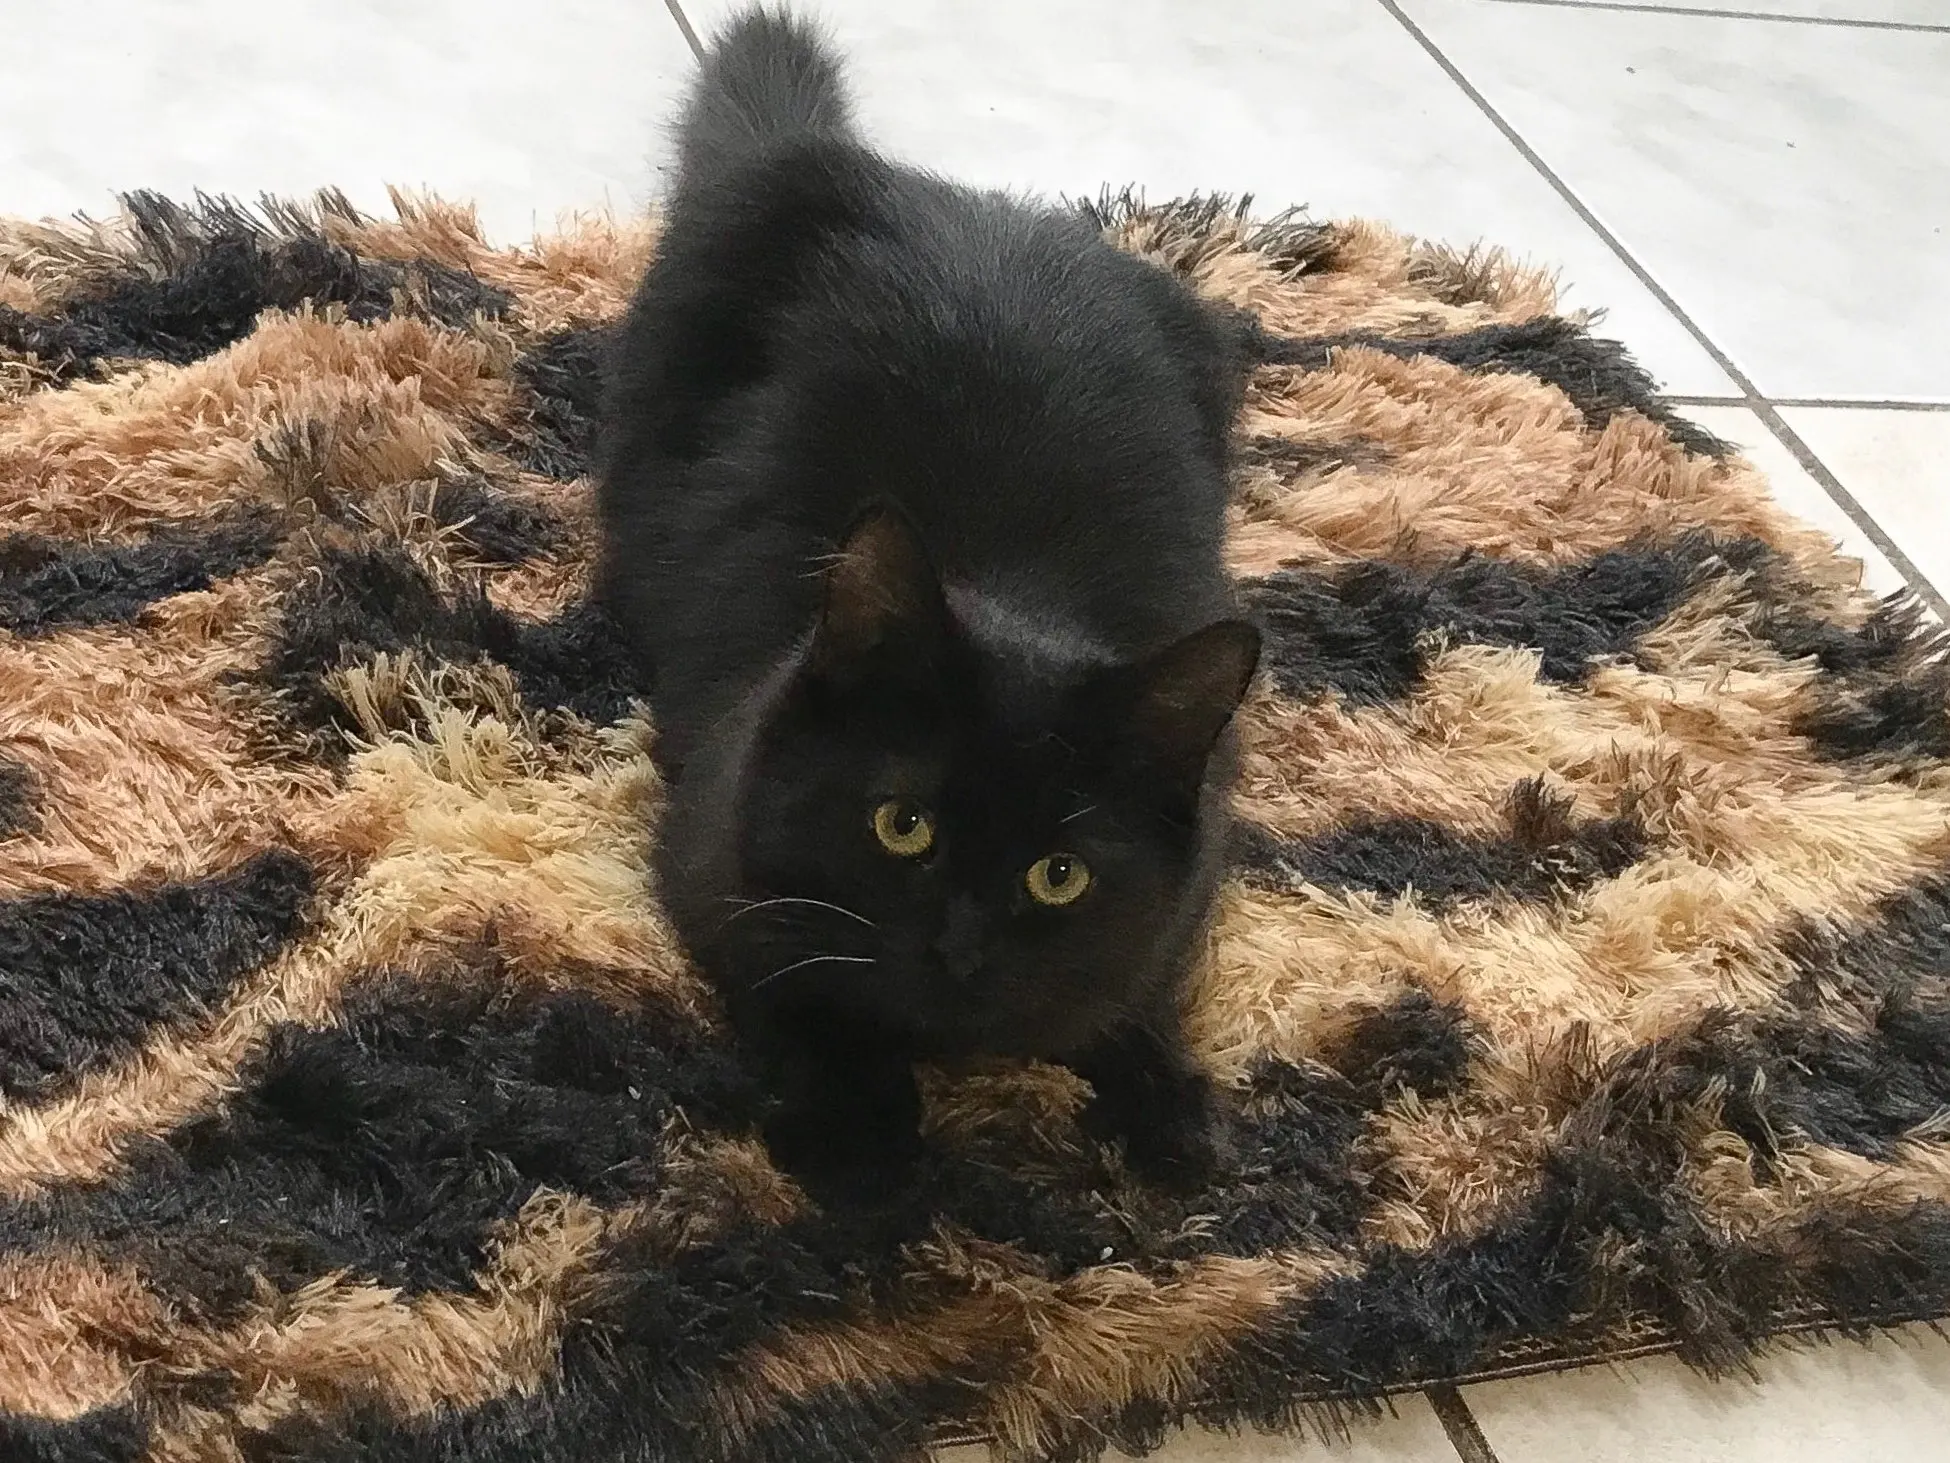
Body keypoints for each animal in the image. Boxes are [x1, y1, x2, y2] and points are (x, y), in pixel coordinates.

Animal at [597, 6, 1259, 1199]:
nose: (961, 949)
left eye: (1060, 874)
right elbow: (796, 986)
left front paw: (1170, 1107)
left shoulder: (1187, 886)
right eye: (902, 824)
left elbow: (1137, 984)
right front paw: (859, 1139)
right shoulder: (710, 858)